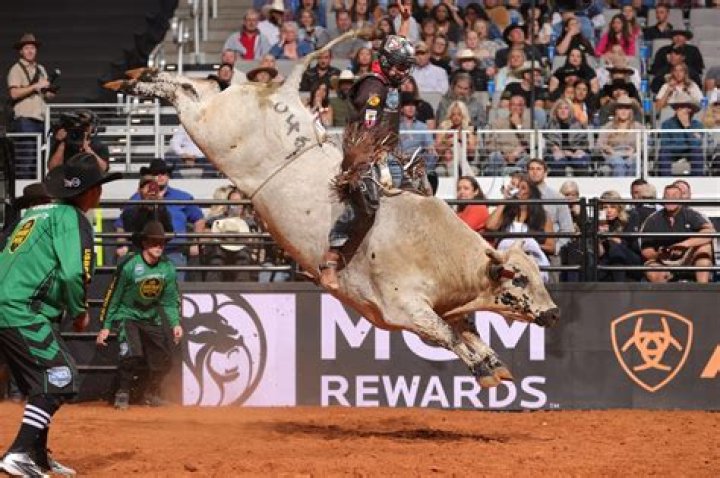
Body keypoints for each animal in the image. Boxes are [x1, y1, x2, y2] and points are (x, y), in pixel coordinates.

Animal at [105, 31, 560, 387]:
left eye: (538, 272)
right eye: (519, 278)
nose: (553, 314)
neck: (437, 249)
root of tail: (284, 91)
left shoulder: (447, 306)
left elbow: (467, 330)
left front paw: (493, 363)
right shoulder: (405, 308)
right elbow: (446, 336)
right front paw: (483, 368)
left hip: (215, 114)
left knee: (194, 85)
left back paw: (132, 77)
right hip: (212, 128)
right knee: (182, 93)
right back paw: (134, 80)